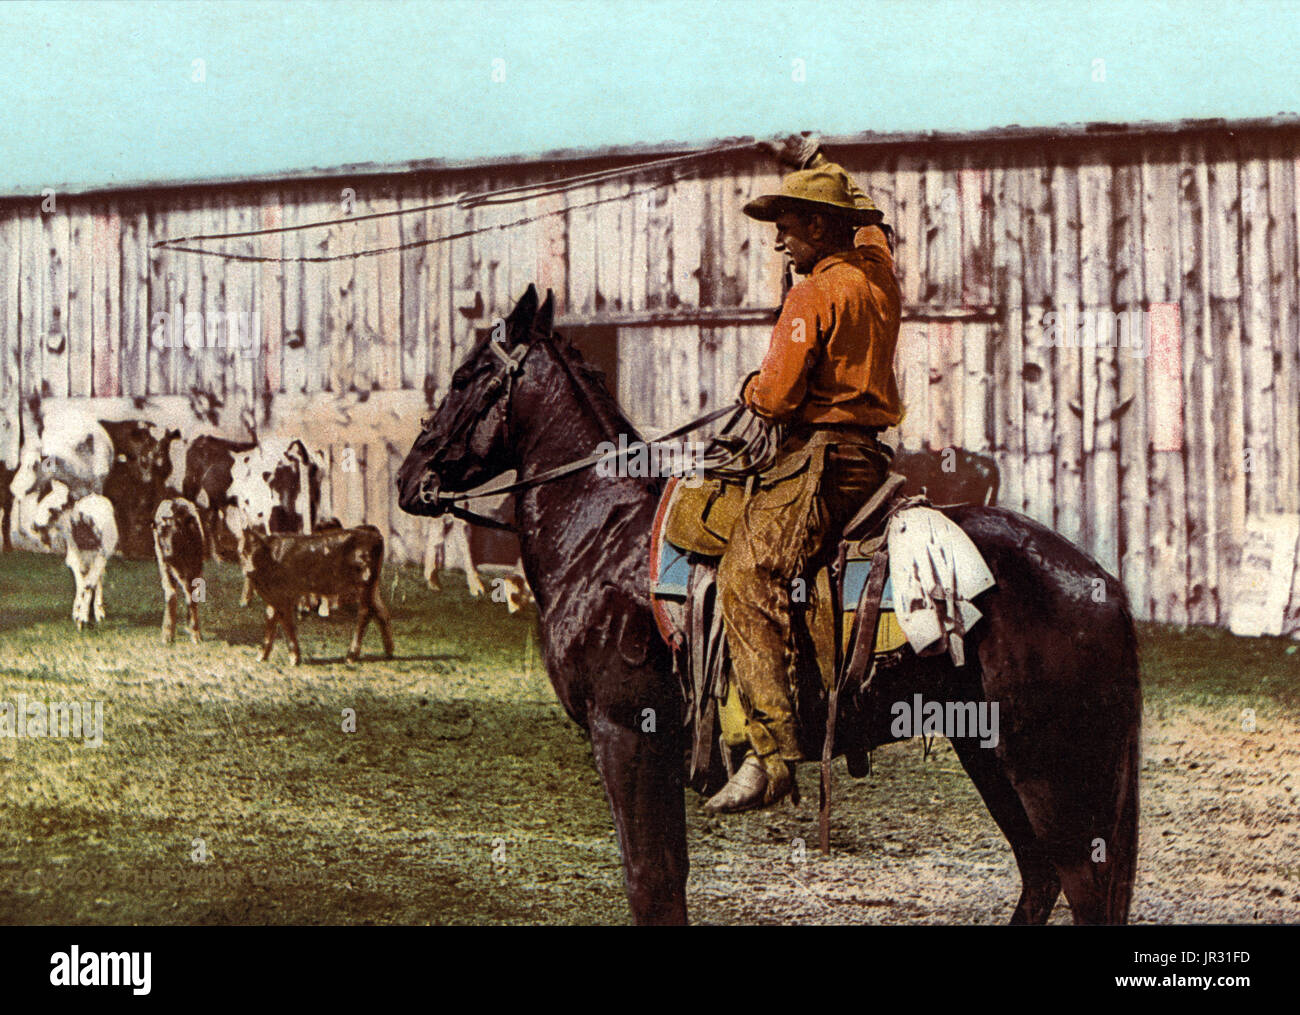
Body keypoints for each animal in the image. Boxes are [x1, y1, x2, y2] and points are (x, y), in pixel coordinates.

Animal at [392, 287, 1138, 925]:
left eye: (464, 377)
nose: (408, 477)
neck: (602, 532)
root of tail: (1100, 582)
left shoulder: (626, 737)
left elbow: (649, 881)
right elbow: (668, 879)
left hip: (1048, 771)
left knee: (1079, 886)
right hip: (986, 752)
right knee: (1040, 878)